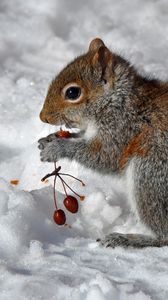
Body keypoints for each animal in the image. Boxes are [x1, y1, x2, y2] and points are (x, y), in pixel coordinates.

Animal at [38, 37, 168, 248]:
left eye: (72, 92)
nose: (43, 117)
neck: (117, 100)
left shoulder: (122, 128)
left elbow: (104, 157)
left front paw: (57, 148)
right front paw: (49, 139)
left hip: (150, 174)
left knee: (163, 234)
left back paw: (126, 239)